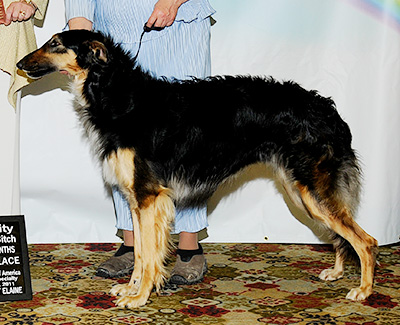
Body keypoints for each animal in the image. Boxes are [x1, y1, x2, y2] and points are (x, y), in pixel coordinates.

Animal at [16, 30, 378, 306]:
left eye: (55, 43)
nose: (19, 64)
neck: (121, 97)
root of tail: (329, 110)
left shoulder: (149, 196)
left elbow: (150, 256)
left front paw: (139, 298)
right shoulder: (137, 200)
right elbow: (140, 253)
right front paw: (131, 288)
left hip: (310, 192)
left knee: (366, 241)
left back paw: (363, 290)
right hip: (302, 192)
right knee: (343, 236)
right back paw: (337, 272)